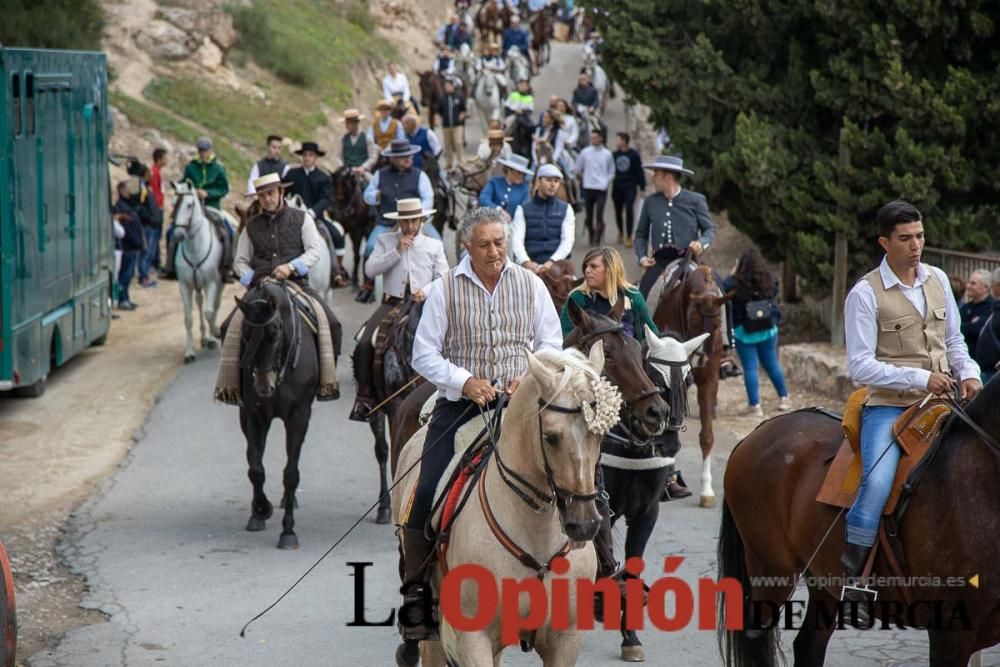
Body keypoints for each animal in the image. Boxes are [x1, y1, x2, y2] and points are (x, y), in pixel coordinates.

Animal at [171, 180, 228, 362]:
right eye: (173, 203)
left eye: (190, 205)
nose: (178, 235)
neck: (195, 248)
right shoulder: (185, 285)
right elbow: (188, 319)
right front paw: (189, 353)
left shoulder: (211, 282)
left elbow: (210, 312)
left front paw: (215, 333)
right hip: (197, 284)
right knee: (200, 301)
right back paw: (204, 338)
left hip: (219, 282)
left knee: (214, 305)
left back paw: (210, 336)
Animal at [234, 280, 320, 552]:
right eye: (245, 334)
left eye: (274, 332)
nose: (264, 387)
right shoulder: (253, 414)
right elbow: (255, 468)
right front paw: (261, 510)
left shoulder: (299, 415)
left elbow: (291, 474)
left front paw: (288, 531)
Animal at [652, 260, 732, 506]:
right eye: (695, 319)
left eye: (718, 323)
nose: (701, 358)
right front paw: (668, 481)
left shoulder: (708, 379)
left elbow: (707, 436)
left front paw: (707, 490)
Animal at [716, 378, 1000, 664]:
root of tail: (760, 431)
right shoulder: (949, 635)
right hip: (771, 569)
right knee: (756, 636)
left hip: (822, 577)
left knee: (809, 645)